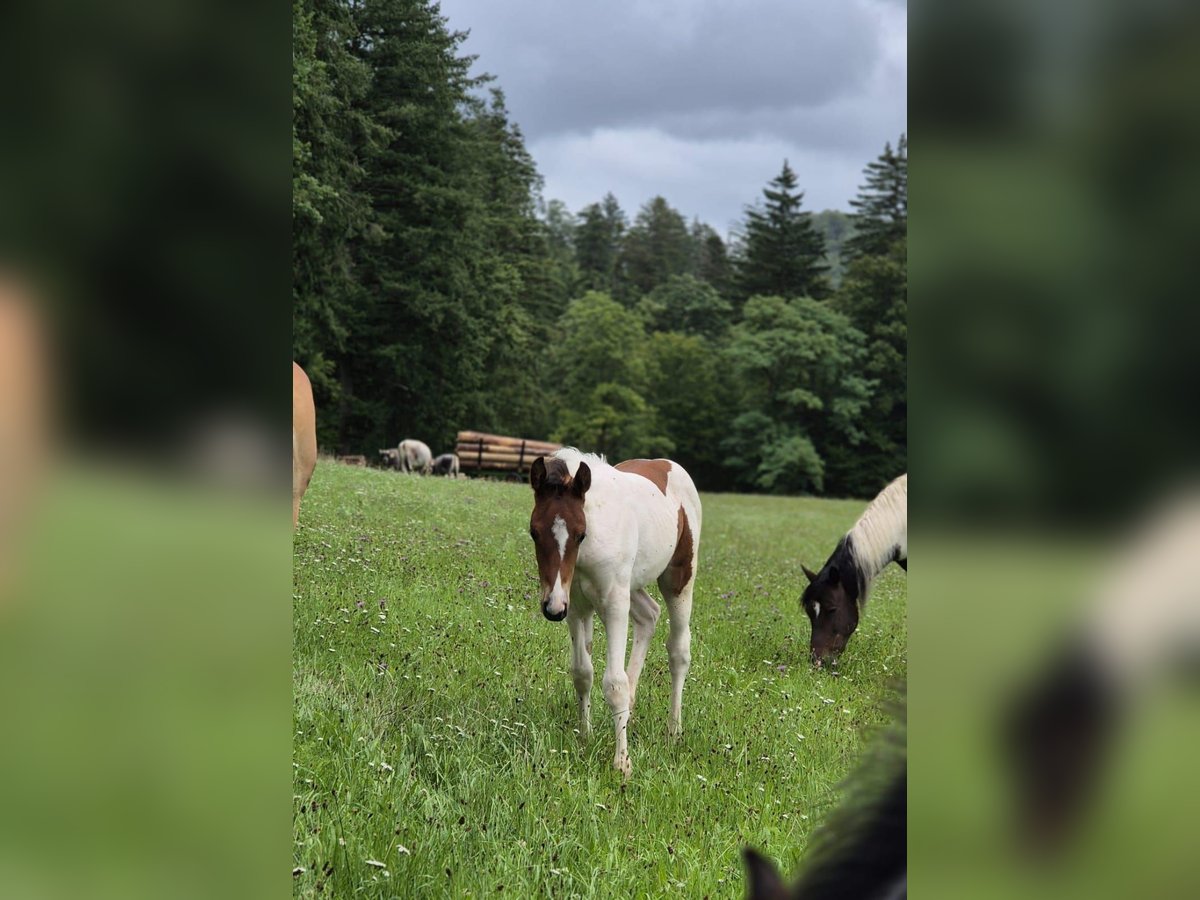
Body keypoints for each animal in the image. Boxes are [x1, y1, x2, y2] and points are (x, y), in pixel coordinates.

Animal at [527, 448, 701, 778]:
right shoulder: (576, 606)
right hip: (632, 585)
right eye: (533, 532)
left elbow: (614, 684)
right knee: (649, 615)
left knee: (678, 651)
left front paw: (622, 763)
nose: (551, 608)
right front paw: (585, 737)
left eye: (580, 534)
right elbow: (583, 674)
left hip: (678, 579)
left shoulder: (614, 605)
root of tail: (667, 464)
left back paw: (674, 731)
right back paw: (631, 712)